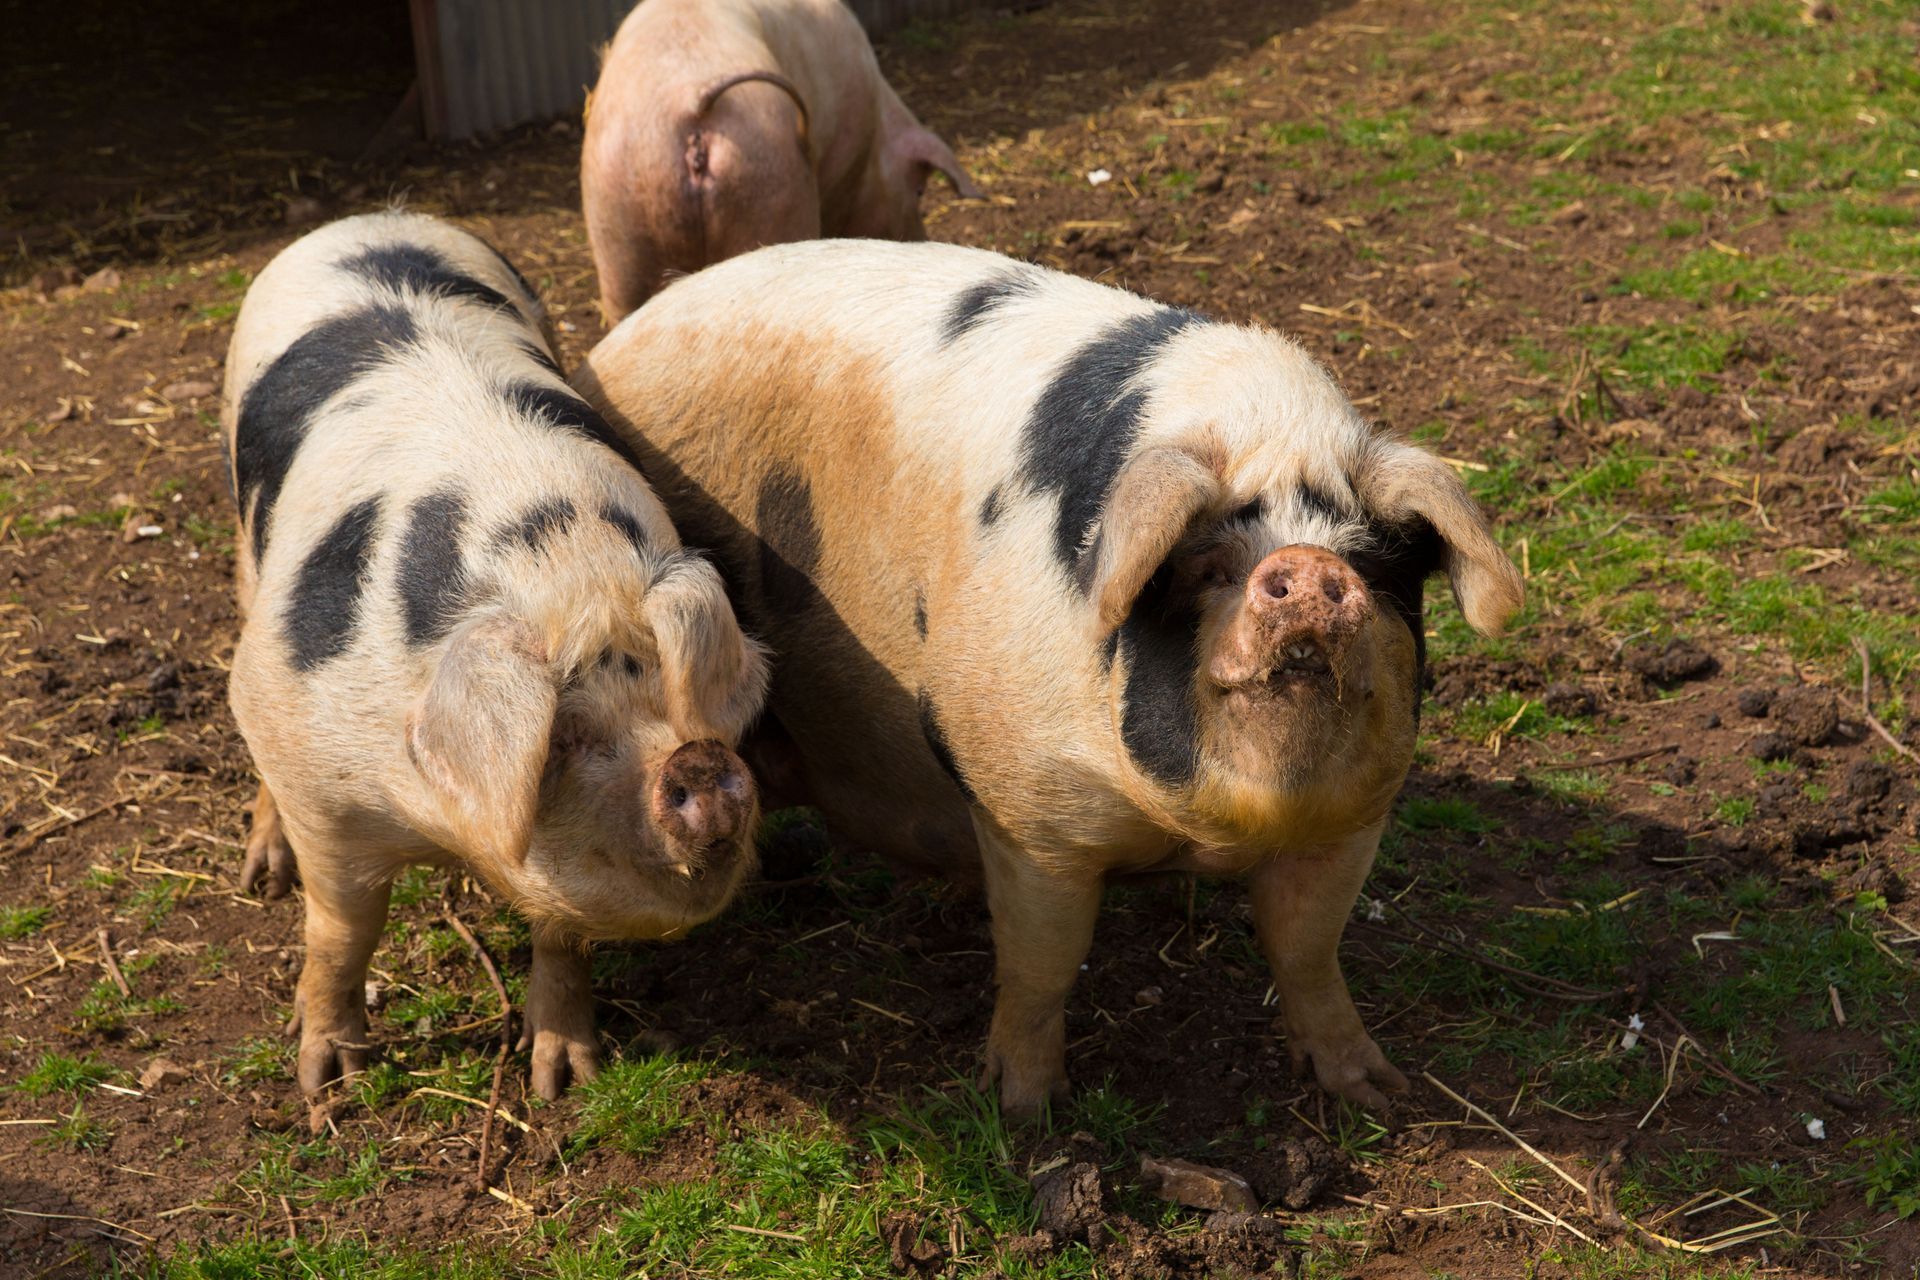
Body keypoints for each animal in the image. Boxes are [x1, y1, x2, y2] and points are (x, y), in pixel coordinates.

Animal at [223, 211, 768, 1099]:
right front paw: (328, 1083)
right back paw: (263, 878)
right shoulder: (317, 776)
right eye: (563, 735)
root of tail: (368, 218)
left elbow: (561, 933)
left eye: (676, 696)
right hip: (241, 537)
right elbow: (343, 928)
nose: (695, 761)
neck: (565, 572)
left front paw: (562, 1080)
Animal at [573, 239, 1524, 1116]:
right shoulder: (1030, 817)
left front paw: (1377, 1094)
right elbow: (1042, 964)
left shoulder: (1354, 818)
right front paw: (1025, 1112)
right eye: (1211, 566)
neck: (1211, 827)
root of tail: (615, 341)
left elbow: (1308, 949)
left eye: (1372, 565)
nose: (1308, 566)